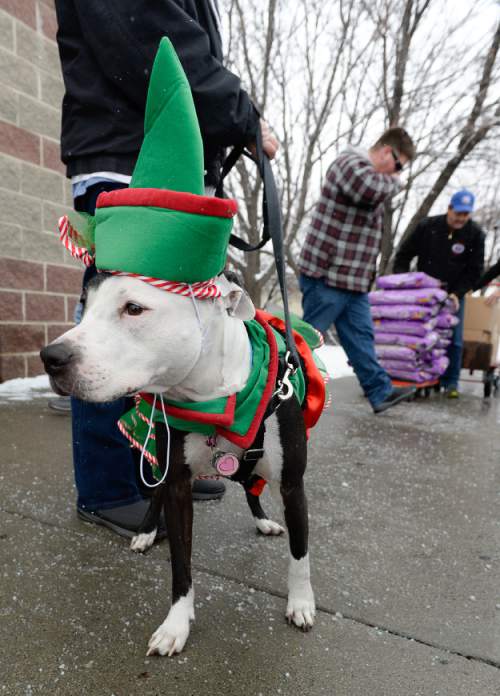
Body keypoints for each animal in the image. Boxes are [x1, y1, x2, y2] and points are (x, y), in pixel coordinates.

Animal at [41, 274, 314, 656]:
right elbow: (181, 564)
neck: (219, 403)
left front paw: (301, 603)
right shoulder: (177, 485)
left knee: (252, 490)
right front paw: (176, 625)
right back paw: (145, 532)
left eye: (134, 308)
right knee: (156, 493)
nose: (50, 357)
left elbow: (300, 554)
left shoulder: (292, 485)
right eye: (86, 305)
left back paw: (263, 522)